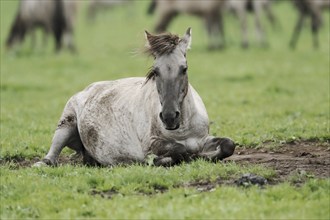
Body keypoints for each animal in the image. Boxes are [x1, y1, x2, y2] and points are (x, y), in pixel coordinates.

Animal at [33, 27, 236, 167]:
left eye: (184, 68)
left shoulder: (203, 139)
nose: (169, 117)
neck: (183, 128)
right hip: (65, 125)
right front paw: (161, 160)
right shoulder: (152, 144)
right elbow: (179, 150)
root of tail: (87, 90)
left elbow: (228, 145)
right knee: (51, 156)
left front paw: (205, 155)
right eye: (155, 71)